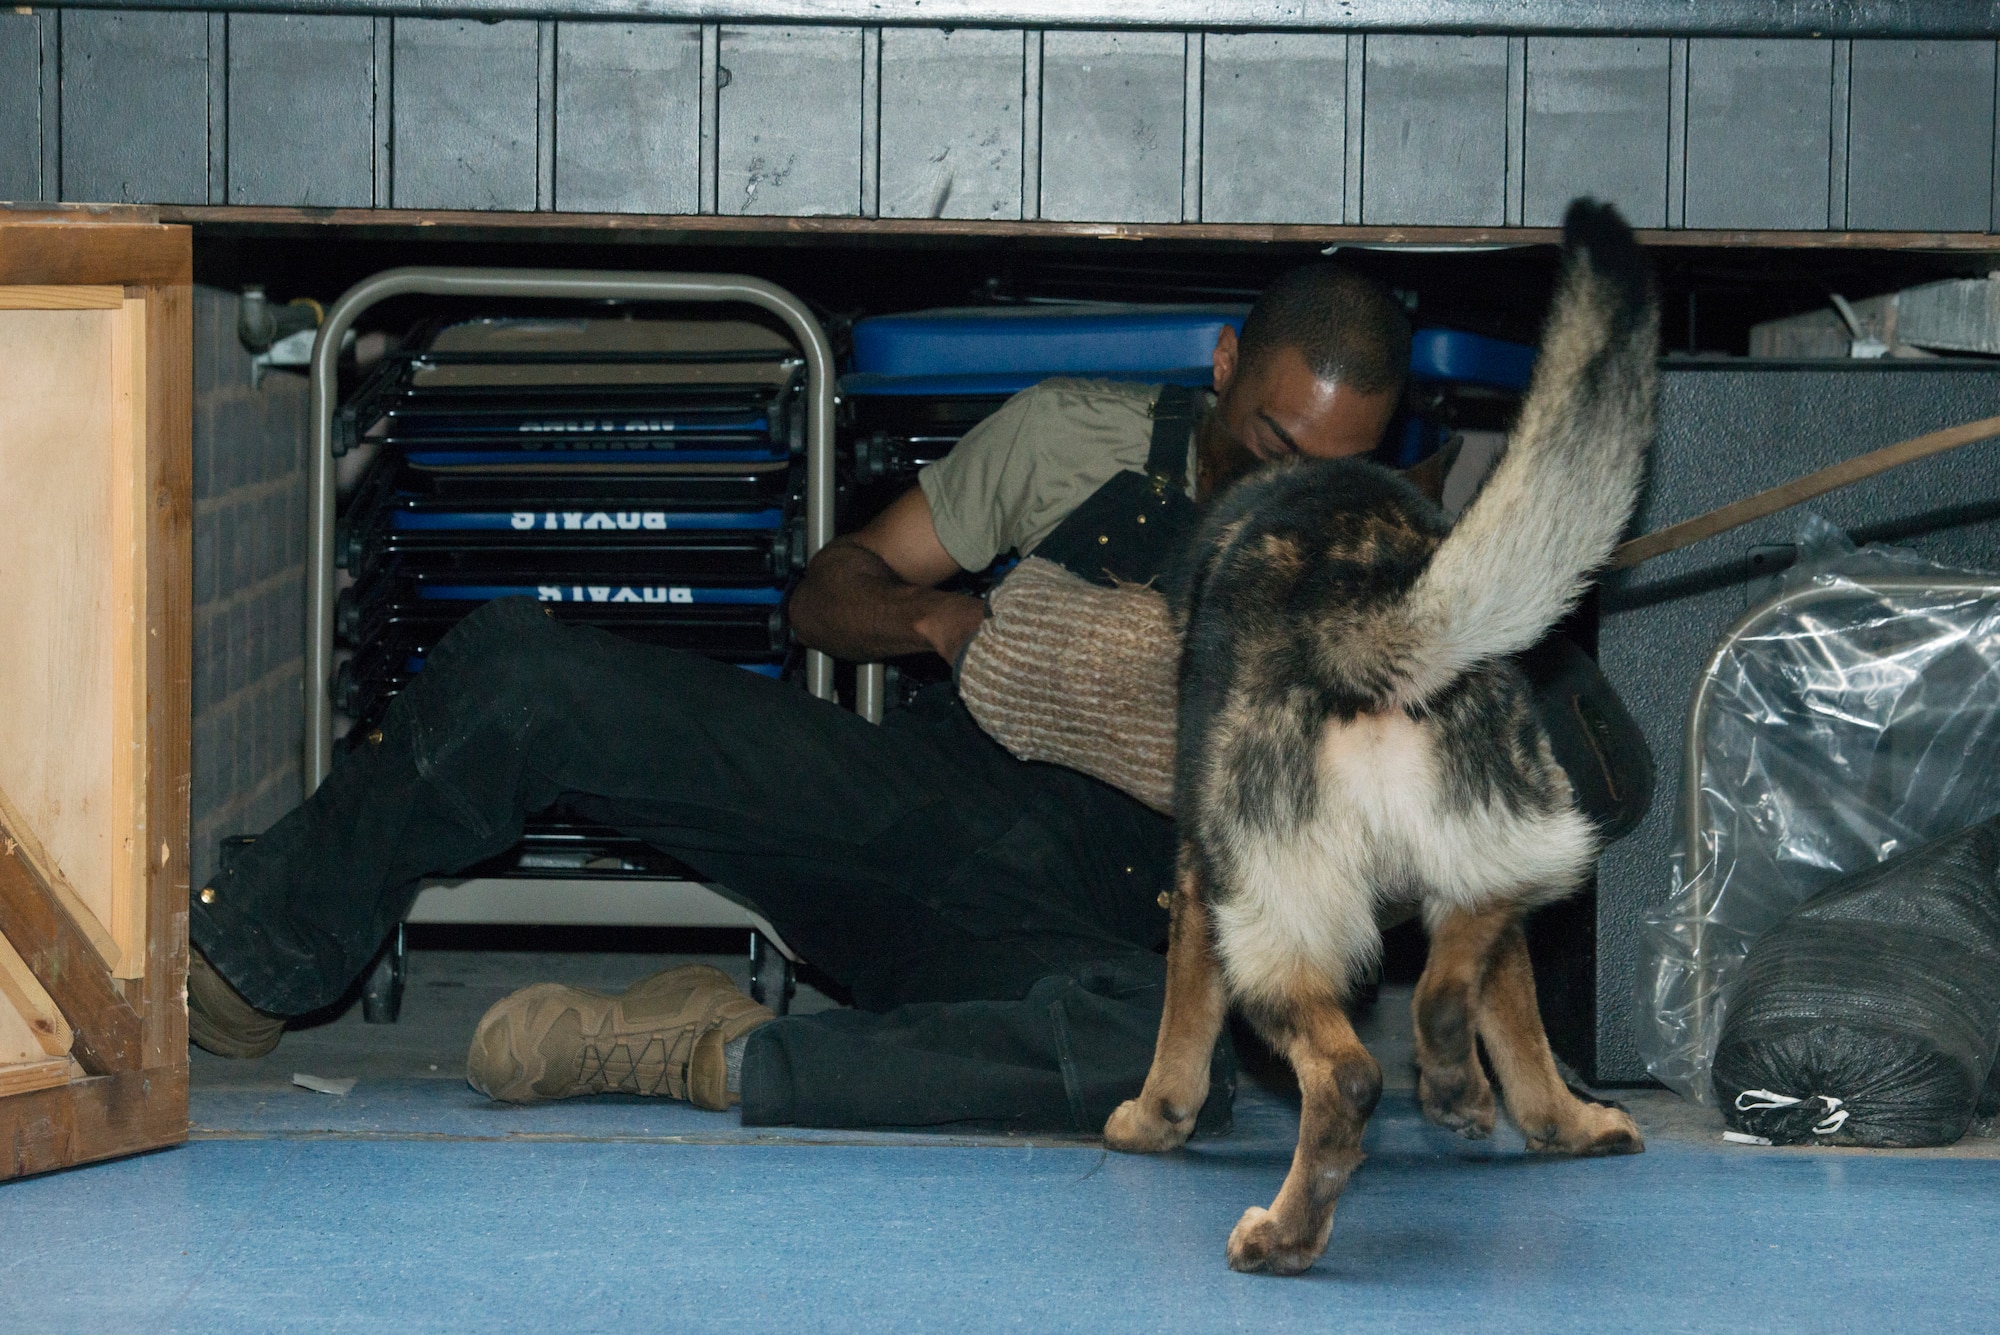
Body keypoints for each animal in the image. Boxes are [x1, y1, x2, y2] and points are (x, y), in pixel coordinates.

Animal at [1112, 197, 1656, 1271]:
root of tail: (1367, 612)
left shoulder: (1197, 882)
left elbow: (1179, 1038)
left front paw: (1152, 1120)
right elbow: (1524, 1027)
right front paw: (1546, 1114)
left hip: (1265, 917)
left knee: (1348, 1075)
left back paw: (1284, 1233)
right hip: (1518, 834)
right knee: (1468, 955)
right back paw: (1457, 1076)